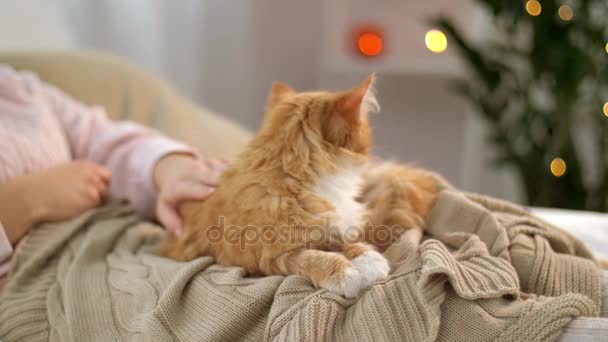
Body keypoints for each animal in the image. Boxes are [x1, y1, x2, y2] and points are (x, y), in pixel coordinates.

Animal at [158, 75, 442, 296]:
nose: (371, 156)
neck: (294, 182)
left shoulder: (333, 226)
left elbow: (347, 241)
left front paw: (368, 258)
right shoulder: (269, 256)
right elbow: (312, 257)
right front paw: (345, 274)